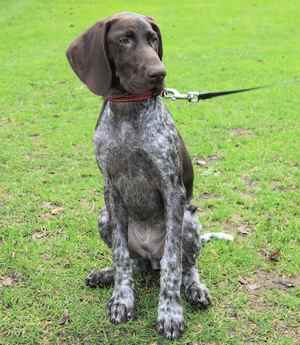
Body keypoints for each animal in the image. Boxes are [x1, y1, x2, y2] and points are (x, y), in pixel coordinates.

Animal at [67, 11, 213, 338]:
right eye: (124, 40)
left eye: (153, 39)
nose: (160, 73)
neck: (128, 112)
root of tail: (149, 256)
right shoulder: (111, 189)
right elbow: (121, 256)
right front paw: (121, 299)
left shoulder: (172, 189)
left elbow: (173, 264)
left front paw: (170, 313)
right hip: (104, 217)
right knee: (134, 263)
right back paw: (106, 274)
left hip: (188, 221)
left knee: (186, 266)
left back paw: (195, 289)